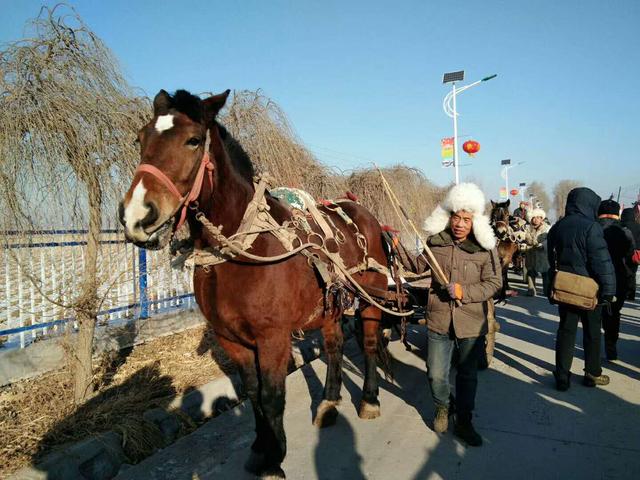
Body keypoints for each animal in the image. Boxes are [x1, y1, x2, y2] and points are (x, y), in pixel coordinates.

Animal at [120, 89, 390, 476]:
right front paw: (261, 449)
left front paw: (274, 460)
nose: (137, 215)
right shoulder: (231, 339)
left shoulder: (272, 337)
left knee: (367, 343)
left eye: (193, 140)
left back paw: (368, 399)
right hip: (329, 306)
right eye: (140, 138)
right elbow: (251, 394)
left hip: (371, 296)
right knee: (335, 345)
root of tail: (364, 213)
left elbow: (271, 396)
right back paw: (328, 403)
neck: (243, 250)